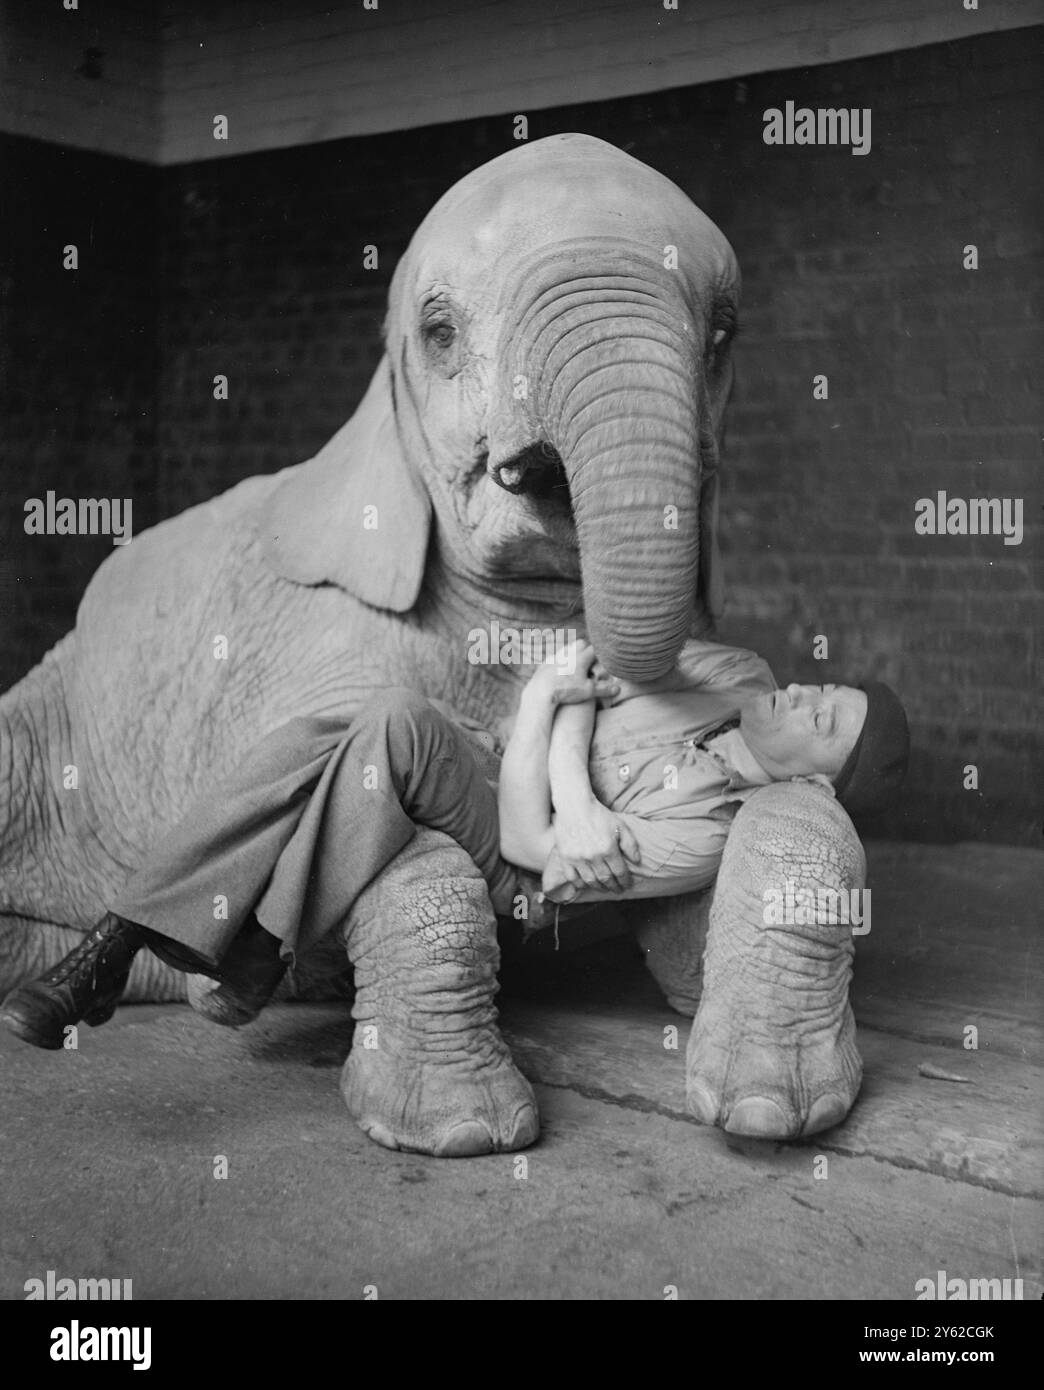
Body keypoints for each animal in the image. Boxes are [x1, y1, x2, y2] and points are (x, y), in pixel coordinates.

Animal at [0, 132, 864, 1153]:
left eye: (724, 334)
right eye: (439, 332)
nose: (604, 678)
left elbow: (784, 821)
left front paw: (771, 1112)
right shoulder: (313, 645)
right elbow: (370, 805)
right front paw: (463, 1134)